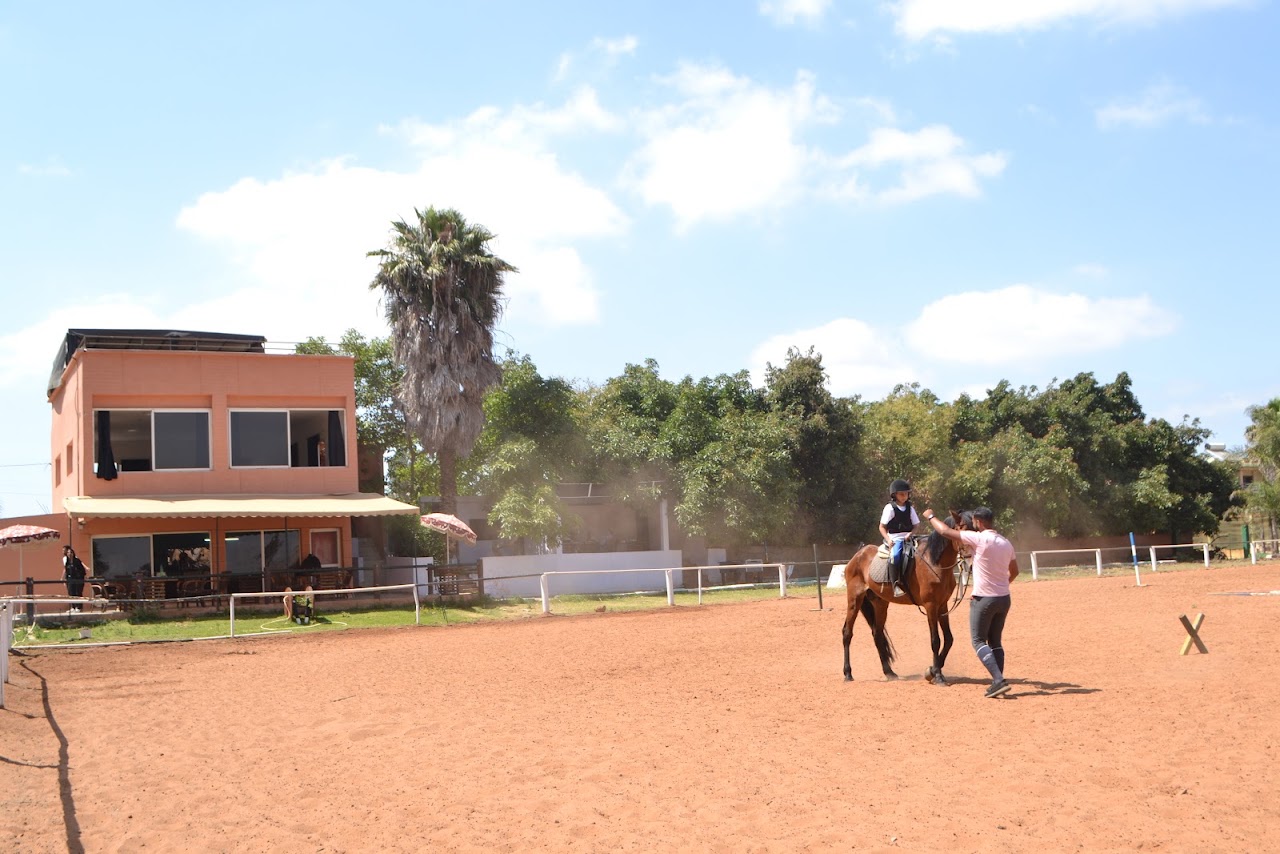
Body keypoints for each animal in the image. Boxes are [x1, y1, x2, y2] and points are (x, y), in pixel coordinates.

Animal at [841, 510, 969, 685]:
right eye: (961, 529)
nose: (970, 553)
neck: (935, 561)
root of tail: (858, 555)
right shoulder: (931, 605)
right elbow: (935, 640)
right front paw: (937, 675)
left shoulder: (943, 605)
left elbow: (949, 639)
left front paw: (933, 670)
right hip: (855, 599)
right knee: (847, 633)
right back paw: (848, 673)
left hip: (880, 604)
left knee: (877, 635)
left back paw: (889, 672)